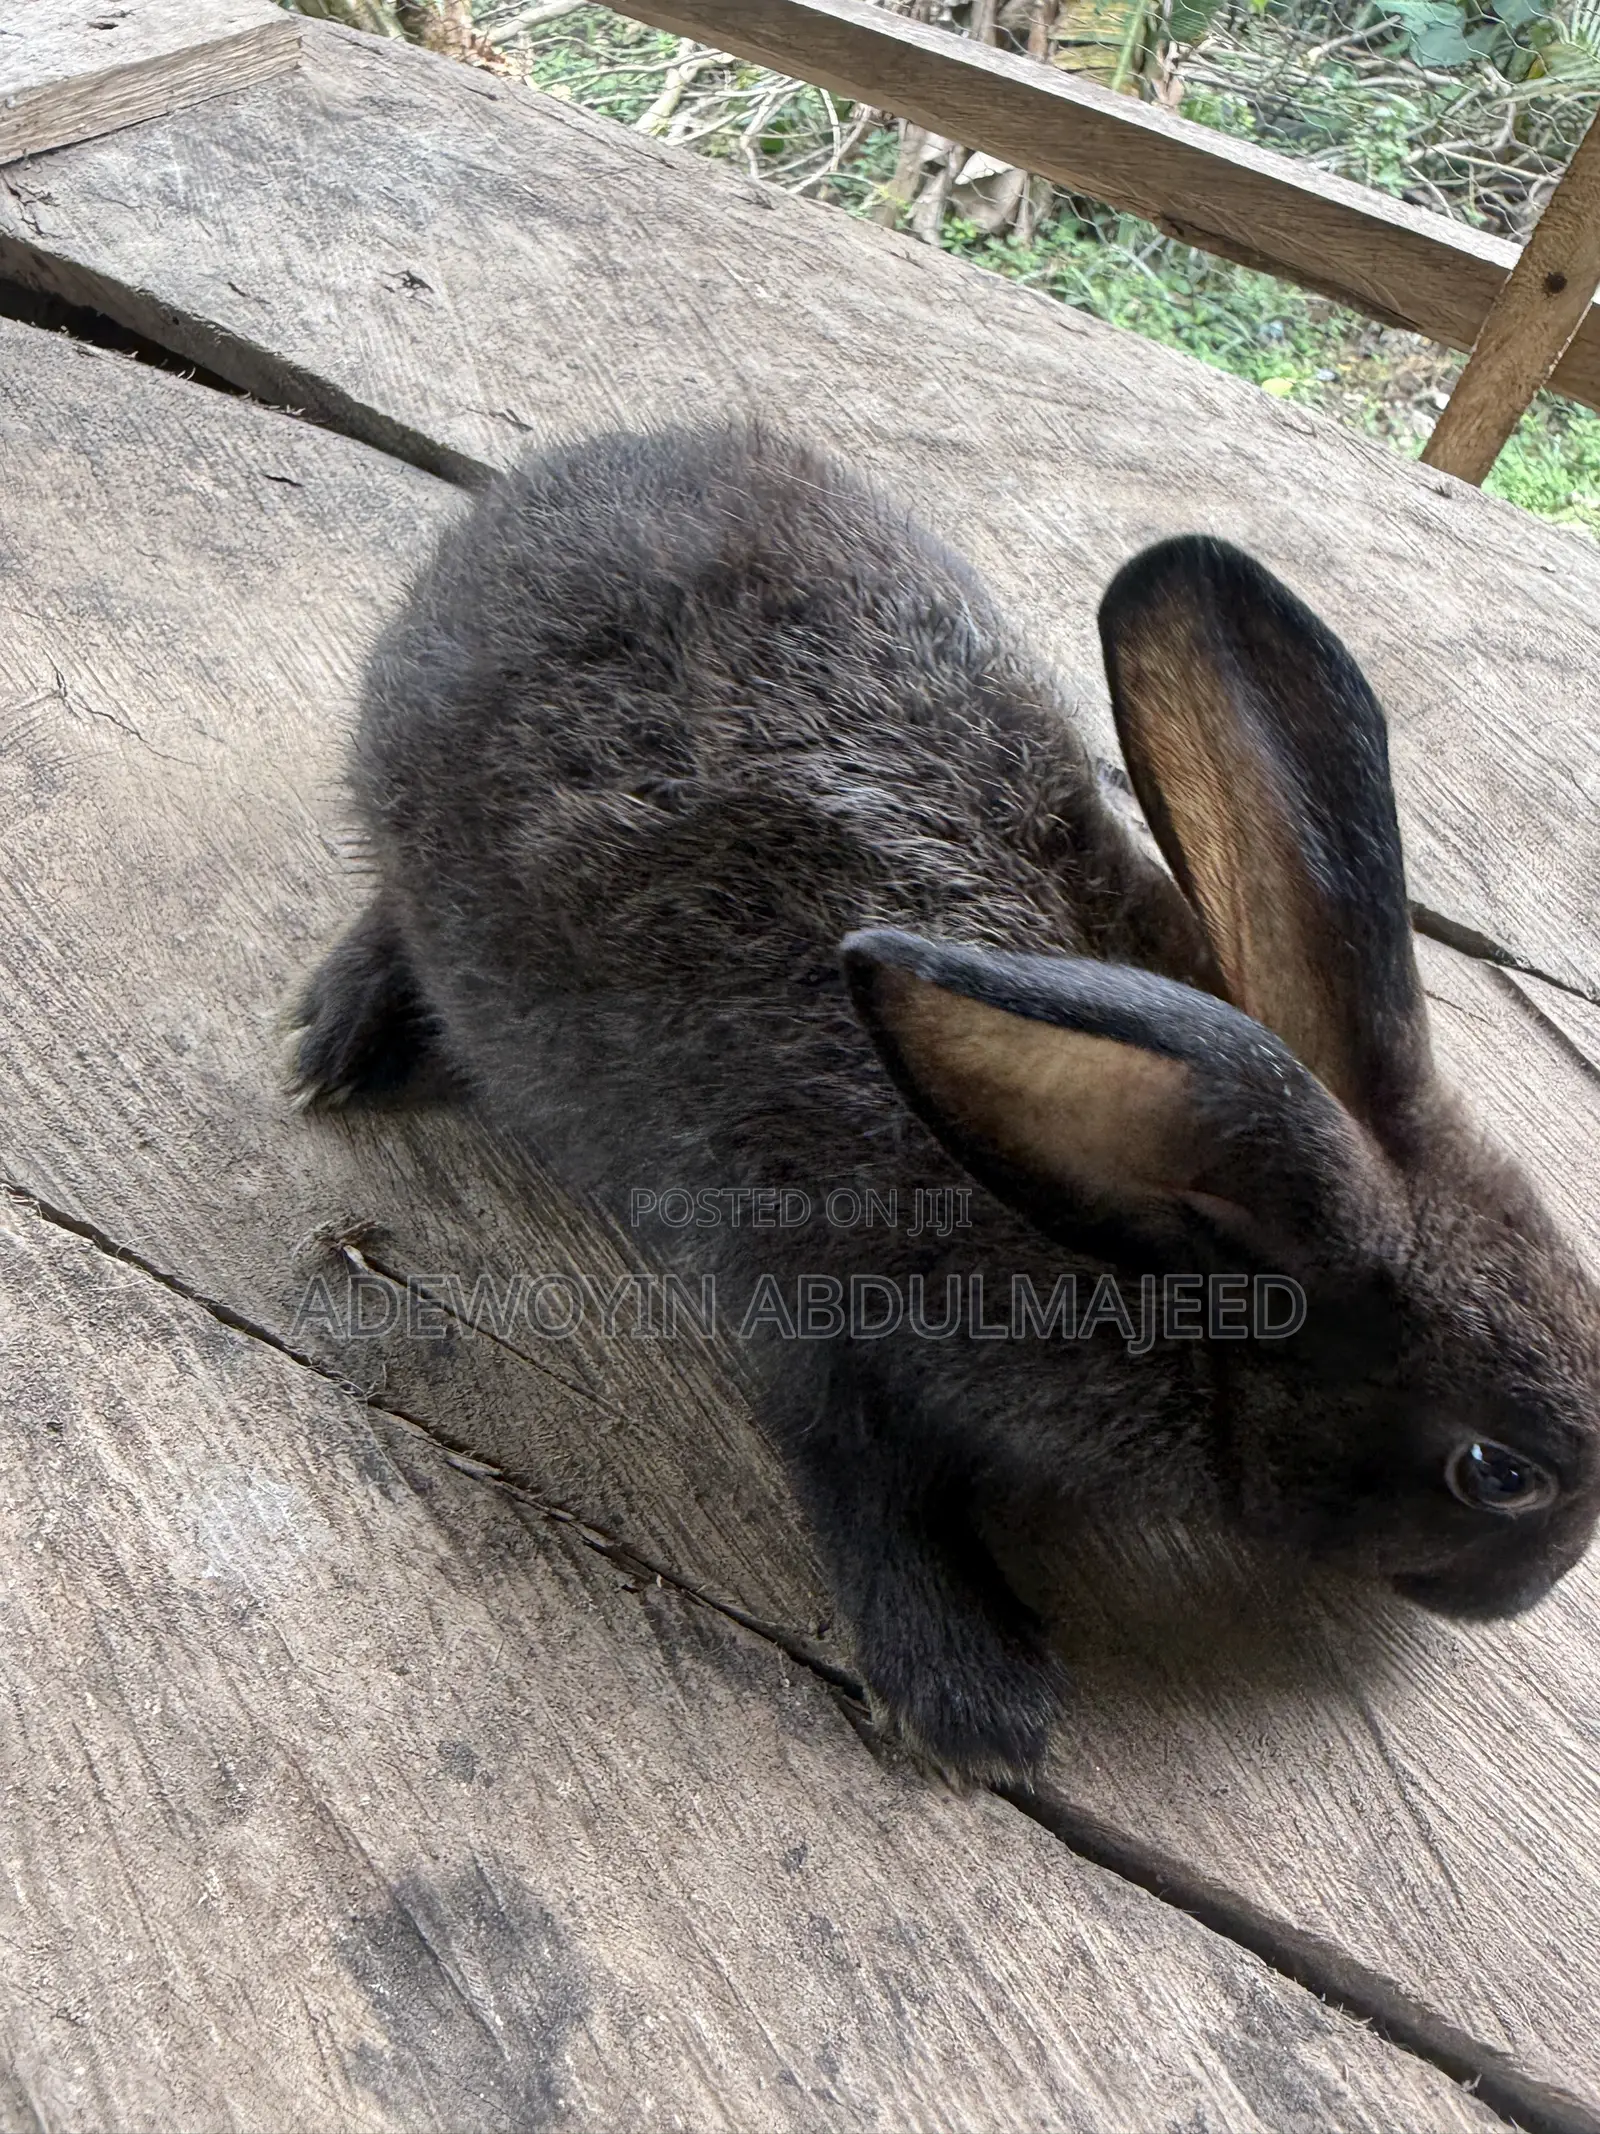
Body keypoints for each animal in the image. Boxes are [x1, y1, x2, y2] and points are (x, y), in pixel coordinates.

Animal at [291, 419, 1600, 1785]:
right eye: (1495, 1472)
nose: (1535, 1589)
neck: (1151, 1254)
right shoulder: (814, 1314)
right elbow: (858, 1477)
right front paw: (975, 1702)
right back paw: (338, 1033)